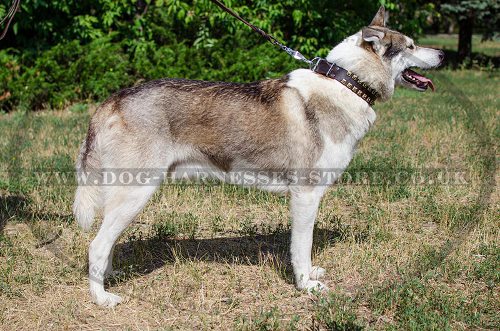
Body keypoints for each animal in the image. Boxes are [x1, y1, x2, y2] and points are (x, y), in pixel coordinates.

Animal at [73, 6, 442, 308]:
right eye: (411, 46)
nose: (441, 53)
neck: (346, 83)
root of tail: (115, 98)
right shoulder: (305, 195)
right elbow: (301, 248)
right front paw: (306, 286)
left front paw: (311, 274)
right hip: (136, 193)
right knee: (96, 245)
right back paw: (102, 298)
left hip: (126, 197)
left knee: (106, 243)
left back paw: (110, 277)